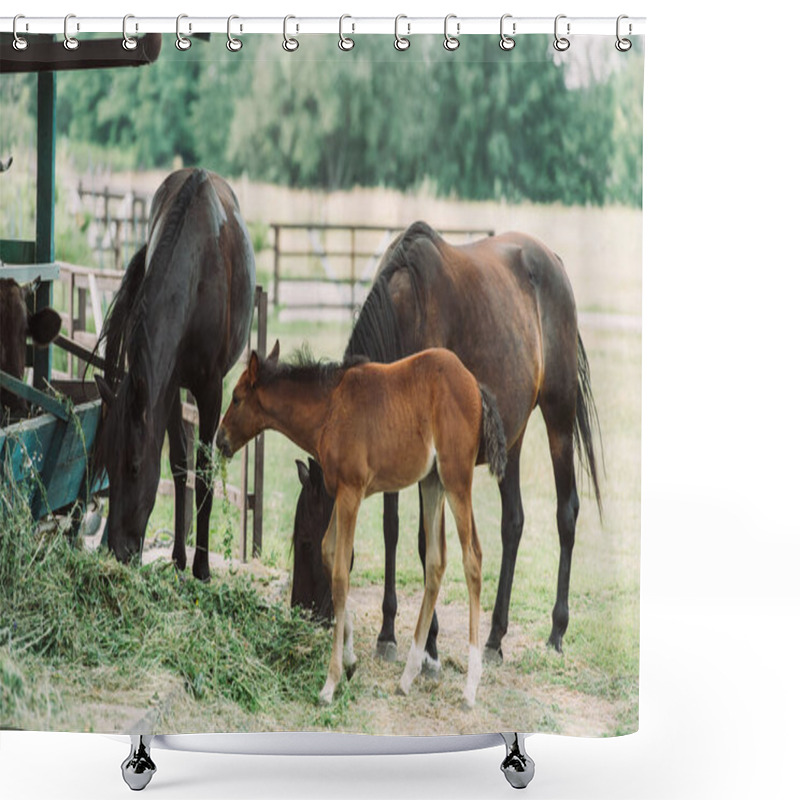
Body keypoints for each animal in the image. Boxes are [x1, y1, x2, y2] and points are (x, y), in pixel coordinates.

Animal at [93, 170, 256, 580]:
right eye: (107, 465)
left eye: (134, 467)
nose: (119, 549)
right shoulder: (163, 389)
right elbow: (180, 465)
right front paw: (180, 556)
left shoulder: (211, 390)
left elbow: (204, 470)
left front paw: (202, 565)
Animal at [216, 342, 510, 708]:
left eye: (237, 397)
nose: (219, 440)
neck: (328, 407)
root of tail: (474, 384)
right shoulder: (339, 493)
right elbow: (330, 554)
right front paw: (351, 659)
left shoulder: (351, 493)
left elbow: (341, 573)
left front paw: (331, 682)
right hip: (432, 482)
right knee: (436, 562)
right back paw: (408, 676)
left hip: (456, 479)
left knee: (473, 558)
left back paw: (470, 686)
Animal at [288, 220, 600, 668]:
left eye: (306, 542)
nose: (300, 611)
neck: (404, 317)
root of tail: (553, 261)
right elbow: (392, 530)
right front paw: (387, 632)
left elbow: (425, 543)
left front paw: (429, 644)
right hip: (513, 435)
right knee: (513, 522)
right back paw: (495, 638)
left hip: (558, 415)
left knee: (566, 513)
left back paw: (557, 630)